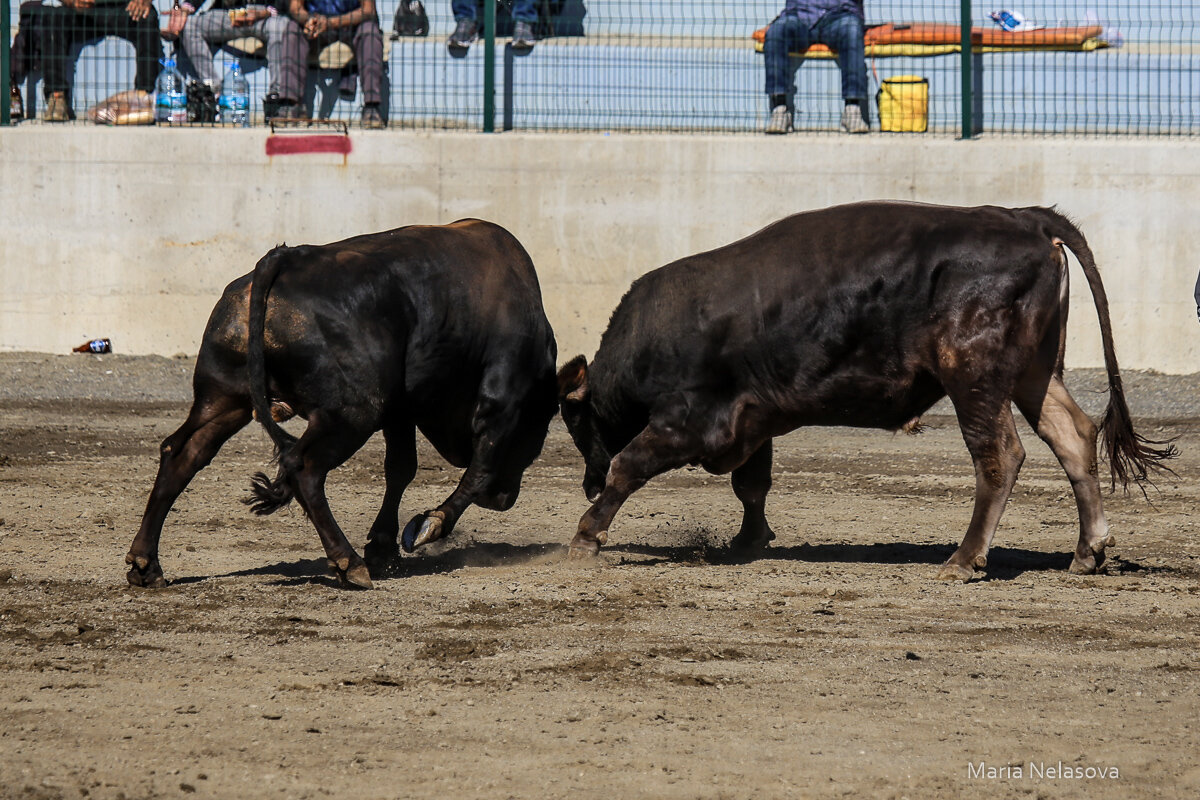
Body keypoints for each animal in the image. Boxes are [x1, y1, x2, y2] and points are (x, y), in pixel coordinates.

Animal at [127, 219, 561, 587]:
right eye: (537, 426)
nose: (503, 500)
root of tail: (285, 259)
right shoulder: (501, 399)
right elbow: (478, 469)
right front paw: (426, 527)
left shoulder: (399, 409)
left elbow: (400, 468)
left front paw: (383, 547)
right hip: (353, 414)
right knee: (303, 467)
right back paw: (348, 562)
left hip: (223, 397)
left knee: (182, 453)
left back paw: (145, 565)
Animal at [556, 201, 1176, 582]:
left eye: (575, 422)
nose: (584, 481)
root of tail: (1025, 218)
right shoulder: (752, 421)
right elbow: (751, 484)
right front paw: (751, 539)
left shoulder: (689, 421)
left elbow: (629, 466)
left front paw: (587, 535)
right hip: (1034, 374)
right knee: (1073, 436)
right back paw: (1088, 552)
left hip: (974, 380)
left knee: (1000, 455)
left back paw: (965, 558)